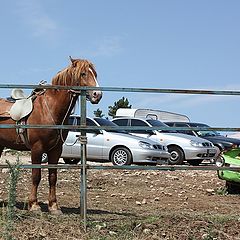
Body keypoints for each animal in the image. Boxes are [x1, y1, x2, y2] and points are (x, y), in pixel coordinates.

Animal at [0, 57, 102, 214]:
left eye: (95, 74)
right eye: (83, 73)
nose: (98, 95)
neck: (50, 110)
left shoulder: (56, 150)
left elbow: (52, 177)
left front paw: (54, 206)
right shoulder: (37, 149)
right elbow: (36, 176)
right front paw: (34, 205)